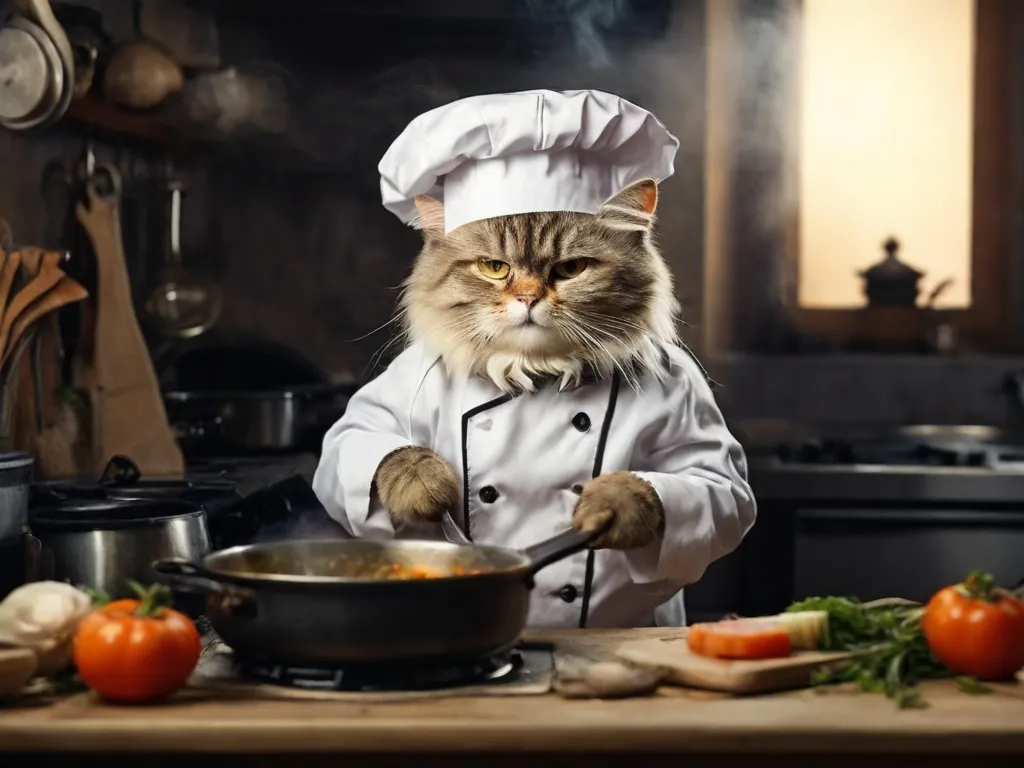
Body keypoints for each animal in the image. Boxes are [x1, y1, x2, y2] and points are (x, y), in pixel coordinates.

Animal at [372, 179, 675, 548]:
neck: (536, 368)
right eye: (494, 268)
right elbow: (390, 449)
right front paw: (421, 482)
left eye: (571, 269)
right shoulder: (376, 408)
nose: (528, 299)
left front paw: (617, 506)